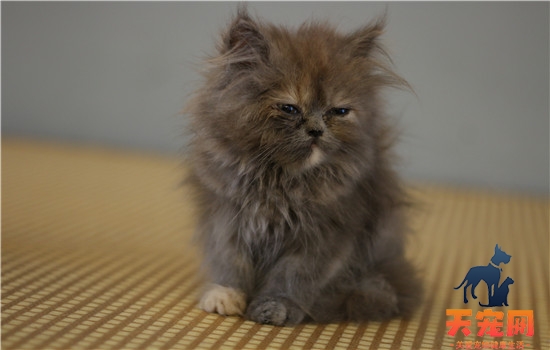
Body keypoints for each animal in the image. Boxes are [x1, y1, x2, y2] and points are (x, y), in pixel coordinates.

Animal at [185, 7, 422, 326]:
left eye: (339, 111)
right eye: (289, 108)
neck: (279, 179)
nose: (317, 130)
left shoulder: (326, 235)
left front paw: (276, 307)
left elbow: (292, 277)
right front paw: (225, 295)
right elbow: (230, 262)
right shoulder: (226, 218)